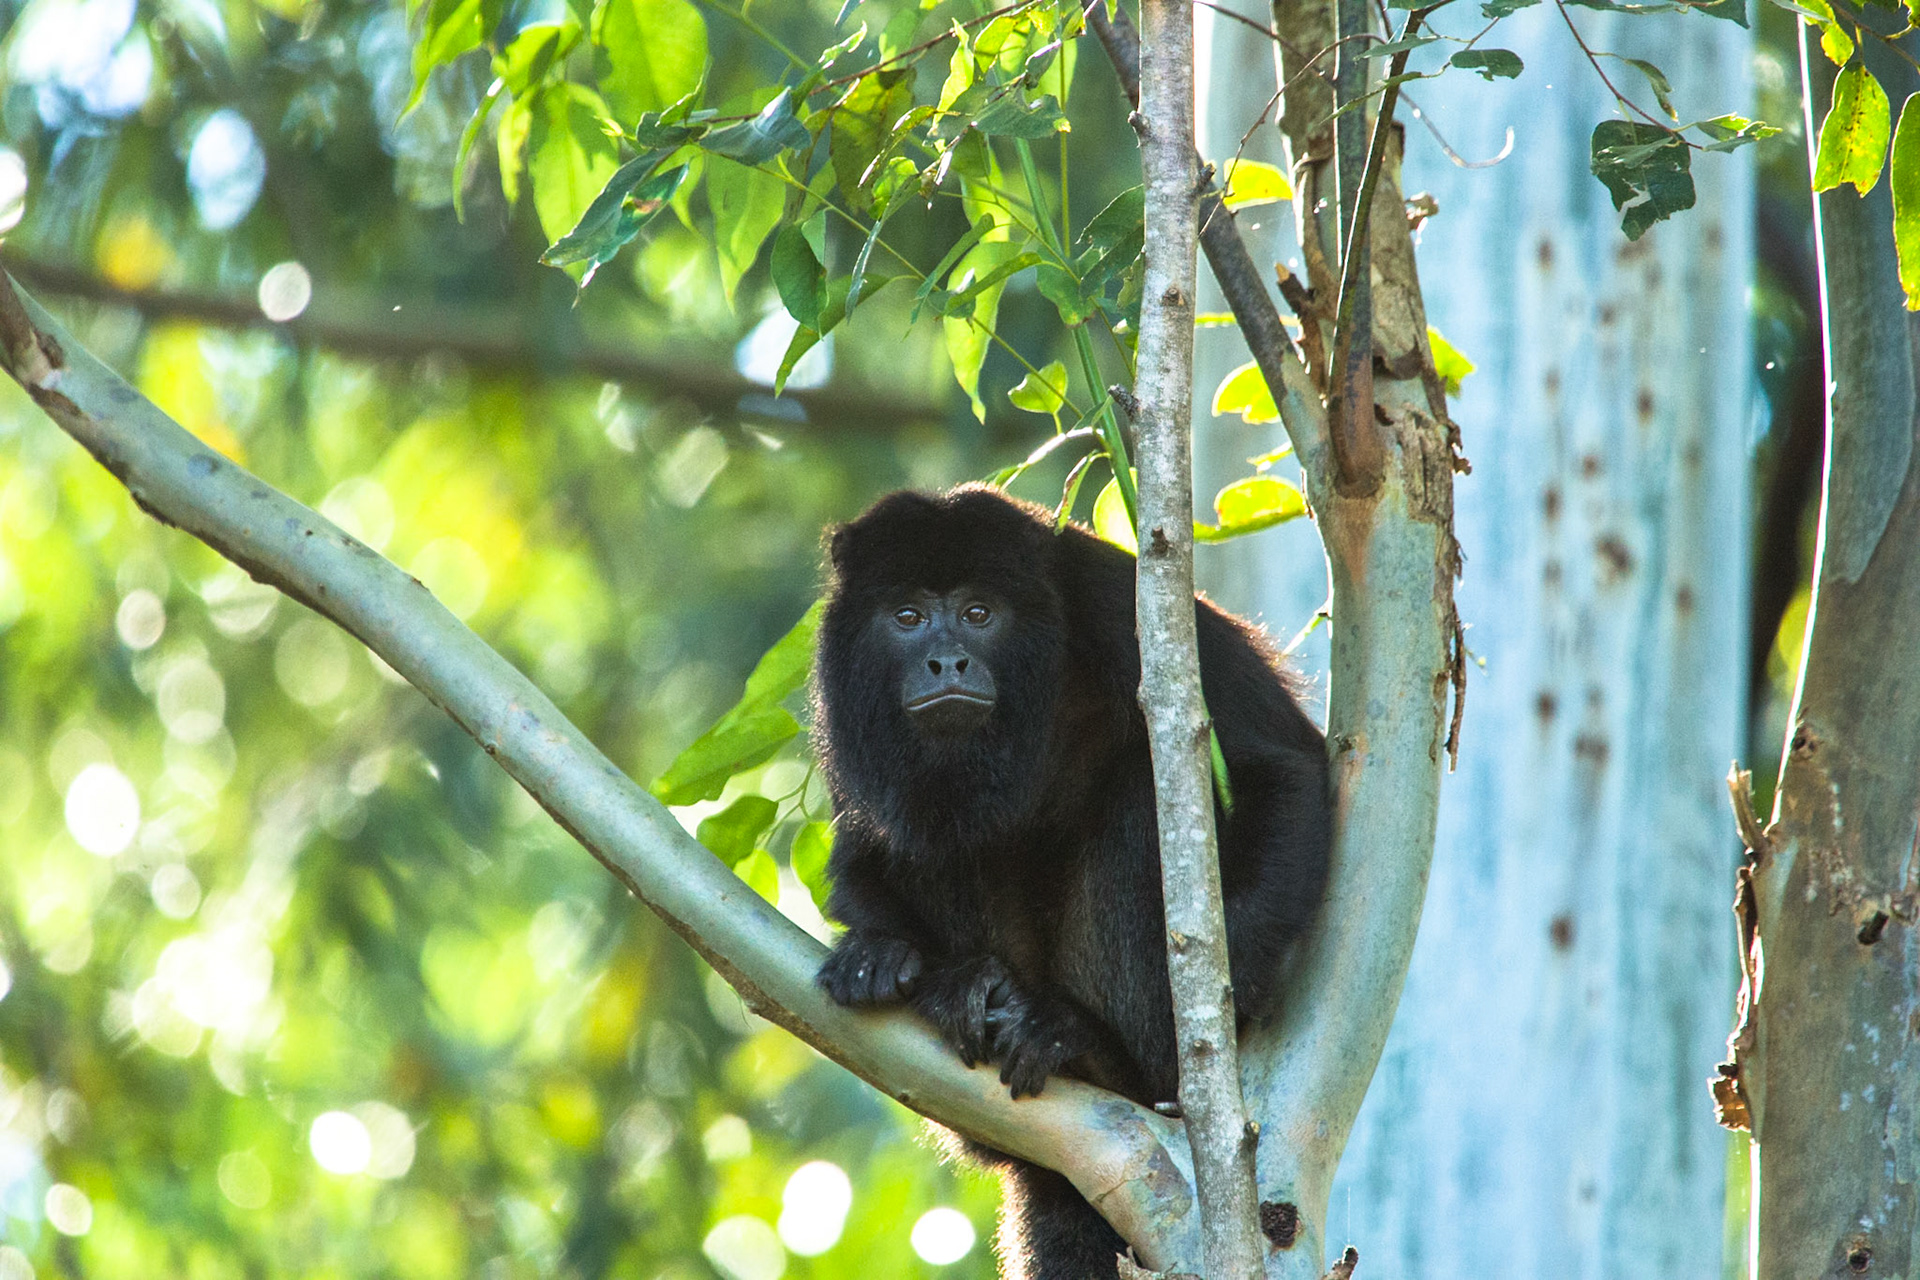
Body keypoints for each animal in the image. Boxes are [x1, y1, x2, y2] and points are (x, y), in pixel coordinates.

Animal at [811, 485, 1332, 1280]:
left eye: (978, 613)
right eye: (906, 617)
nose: (945, 660)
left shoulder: (1119, 604)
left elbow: (1280, 767)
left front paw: (1221, 991)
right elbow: (863, 854)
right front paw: (881, 951)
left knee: (1140, 784)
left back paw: (1085, 1041)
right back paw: (965, 987)